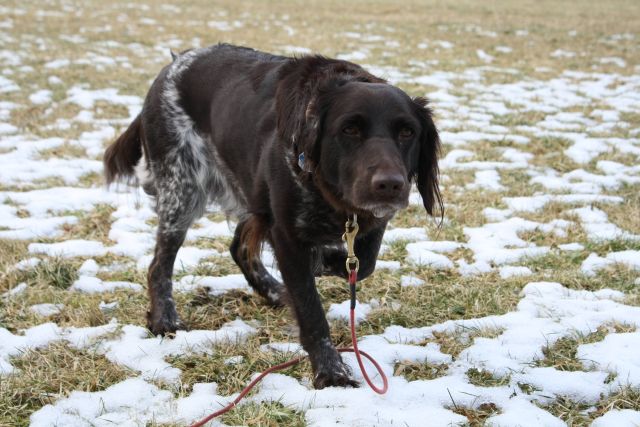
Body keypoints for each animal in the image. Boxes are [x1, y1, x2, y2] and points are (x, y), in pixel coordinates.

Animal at [104, 44, 440, 392]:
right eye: (349, 129)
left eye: (407, 132)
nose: (389, 184)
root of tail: (175, 62)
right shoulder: (286, 232)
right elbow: (310, 308)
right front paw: (330, 372)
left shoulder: (369, 223)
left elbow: (363, 263)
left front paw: (323, 262)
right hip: (182, 192)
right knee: (160, 265)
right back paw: (164, 320)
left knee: (239, 246)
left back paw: (275, 290)